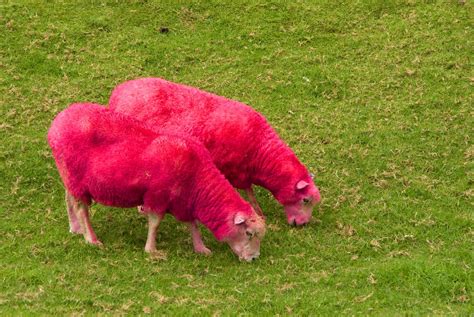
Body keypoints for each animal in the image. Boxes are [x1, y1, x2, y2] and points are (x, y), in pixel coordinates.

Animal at [48, 102, 266, 260]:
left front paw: (201, 248)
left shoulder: (184, 200)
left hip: (70, 177)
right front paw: (152, 250)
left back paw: (75, 229)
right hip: (76, 178)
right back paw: (91, 239)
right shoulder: (157, 196)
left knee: (68, 200)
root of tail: (56, 124)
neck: (198, 179)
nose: (254, 258)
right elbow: (155, 222)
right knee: (81, 209)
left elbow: (192, 223)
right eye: (249, 233)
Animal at [109, 77, 320, 225]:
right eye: (305, 200)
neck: (261, 150)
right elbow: (249, 191)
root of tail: (118, 93)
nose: (301, 224)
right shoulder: (236, 171)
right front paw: (258, 212)